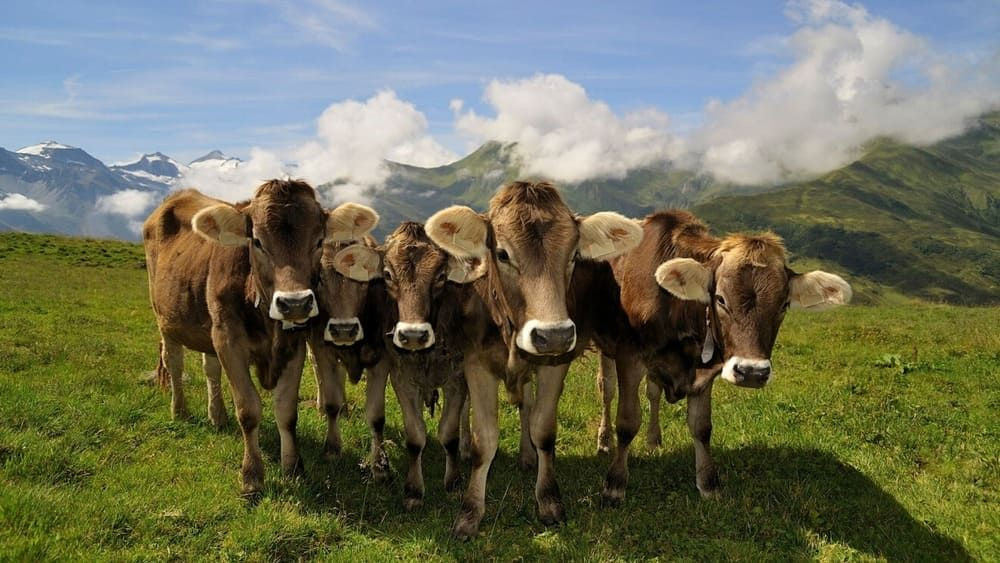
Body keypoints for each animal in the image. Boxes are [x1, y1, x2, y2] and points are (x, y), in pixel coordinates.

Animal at [142, 181, 378, 496]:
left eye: (318, 241)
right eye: (256, 241)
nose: (295, 303)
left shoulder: (293, 345)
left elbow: (287, 411)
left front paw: (293, 467)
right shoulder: (228, 341)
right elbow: (248, 410)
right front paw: (252, 476)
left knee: (210, 369)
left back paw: (217, 415)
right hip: (165, 320)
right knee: (174, 364)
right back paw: (179, 411)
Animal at [425, 181, 643, 539]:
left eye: (574, 256)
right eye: (502, 254)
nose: (552, 335)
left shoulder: (557, 362)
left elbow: (543, 429)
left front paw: (549, 500)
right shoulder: (476, 362)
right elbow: (485, 439)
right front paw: (470, 512)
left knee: (605, 388)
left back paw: (598, 442)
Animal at [595, 209, 851, 504]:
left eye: (784, 305)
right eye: (720, 299)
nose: (752, 372)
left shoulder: (707, 370)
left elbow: (701, 426)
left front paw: (708, 482)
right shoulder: (629, 356)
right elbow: (627, 422)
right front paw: (615, 483)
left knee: (653, 392)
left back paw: (653, 439)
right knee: (607, 390)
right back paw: (604, 440)